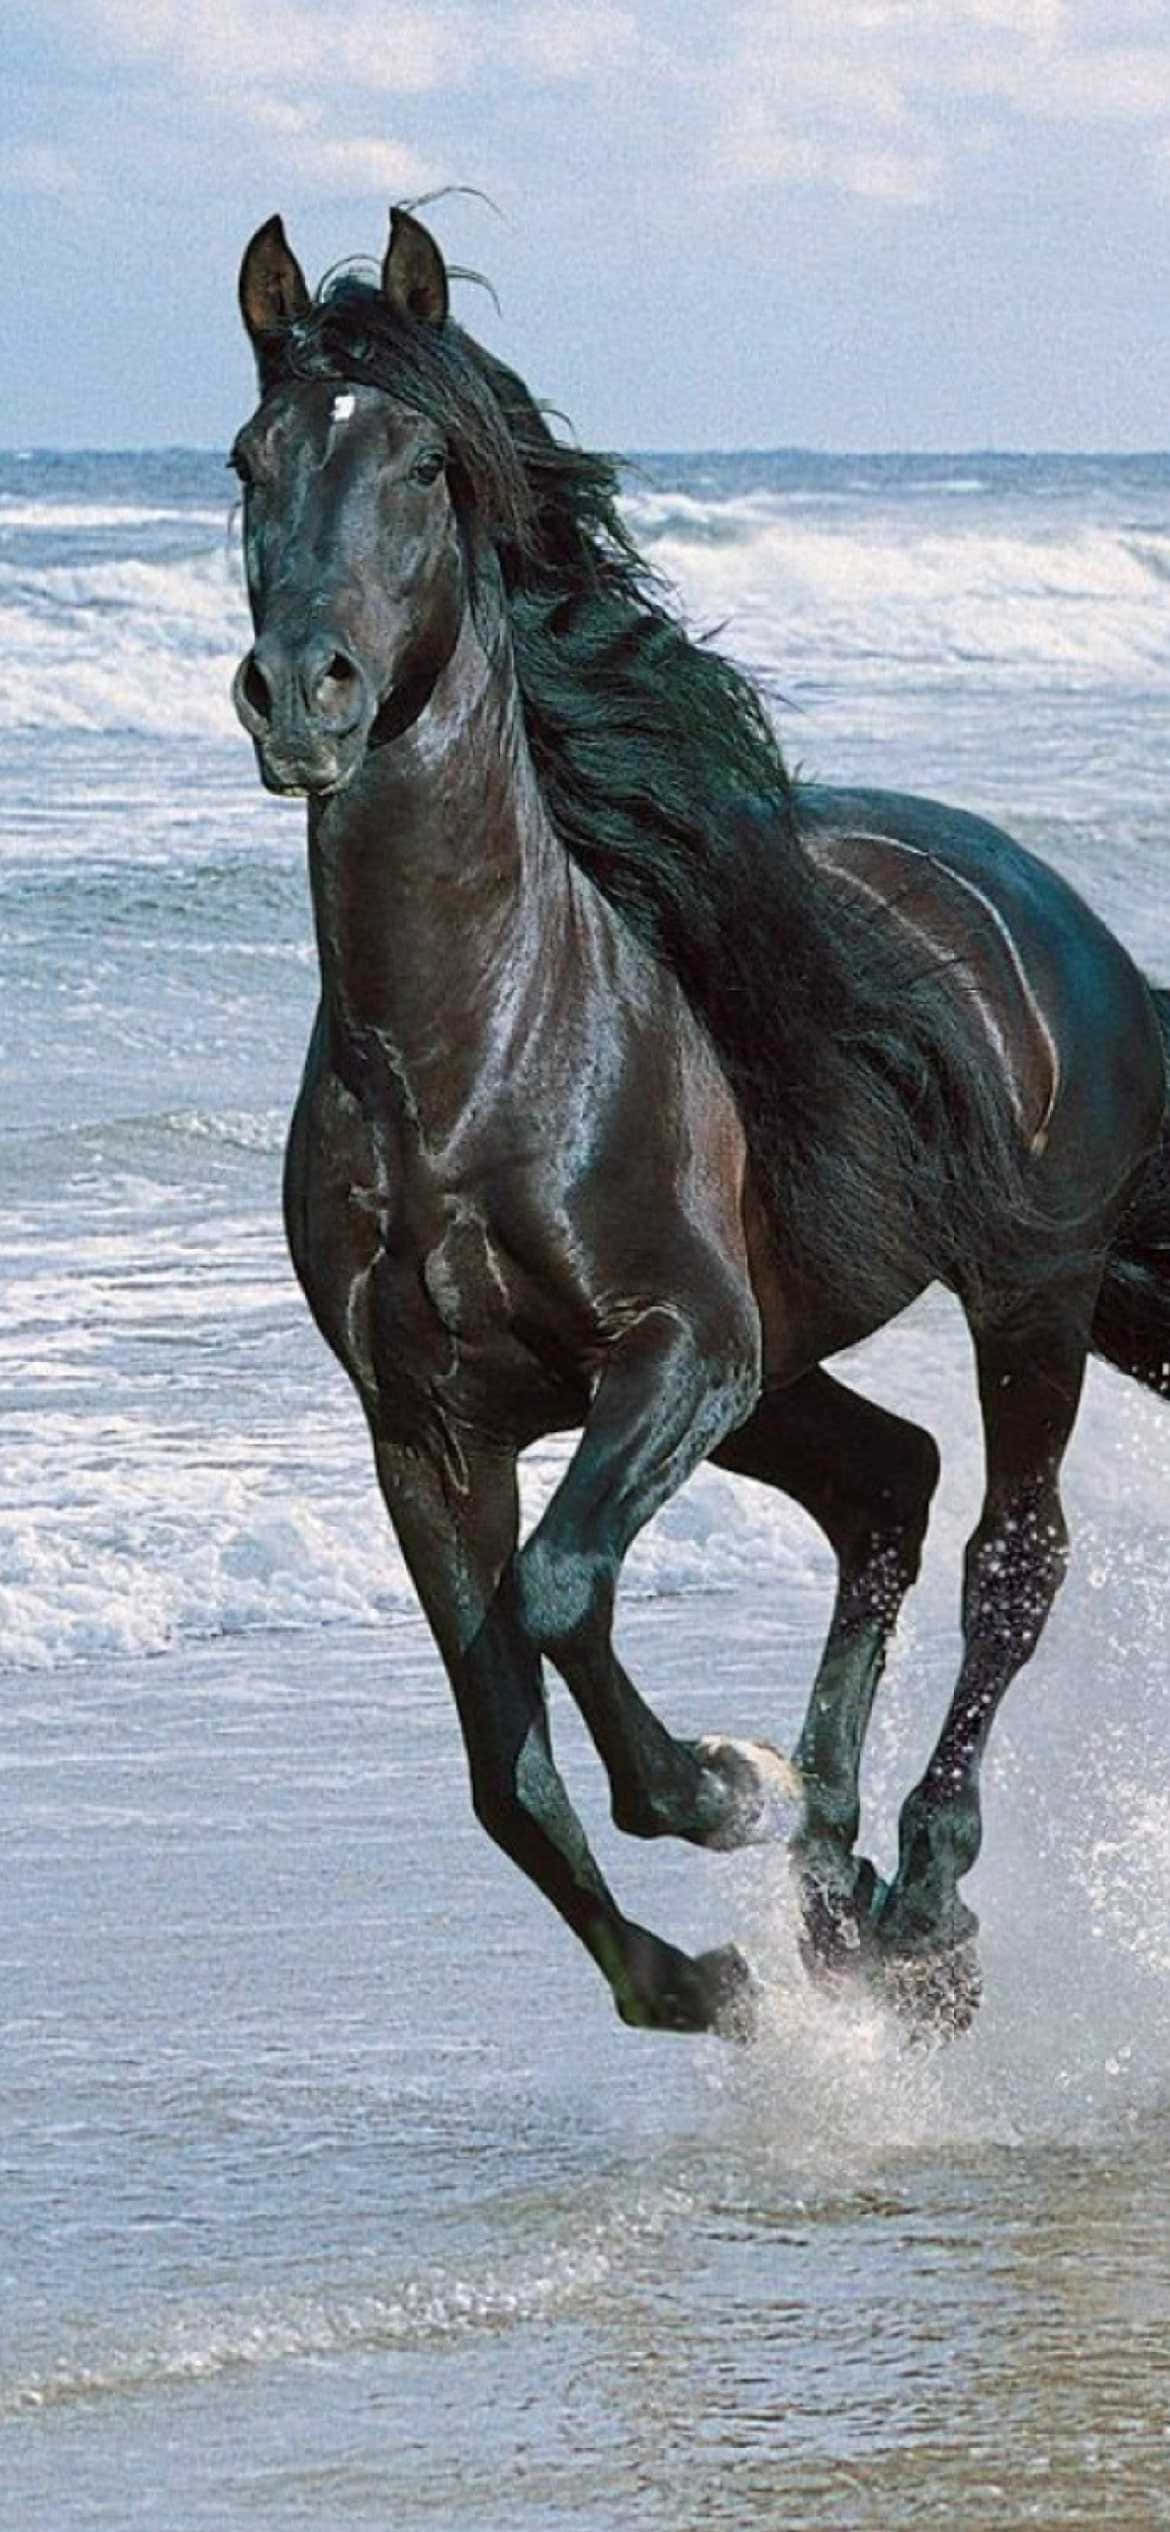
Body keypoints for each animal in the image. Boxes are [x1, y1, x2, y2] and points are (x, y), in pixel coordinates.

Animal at [229, 204, 1170, 2040]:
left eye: (425, 465)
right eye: (249, 461)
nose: (303, 695)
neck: (468, 1061)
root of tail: (1055, 920)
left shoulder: (675, 1348)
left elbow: (559, 1591)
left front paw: (718, 1789)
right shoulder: (424, 1430)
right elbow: (502, 1768)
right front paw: (706, 1966)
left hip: (1022, 1299)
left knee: (1010, 1553)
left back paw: (918, 1890)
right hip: (786, 1370)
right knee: (889, 1487)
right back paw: (837, 1884)